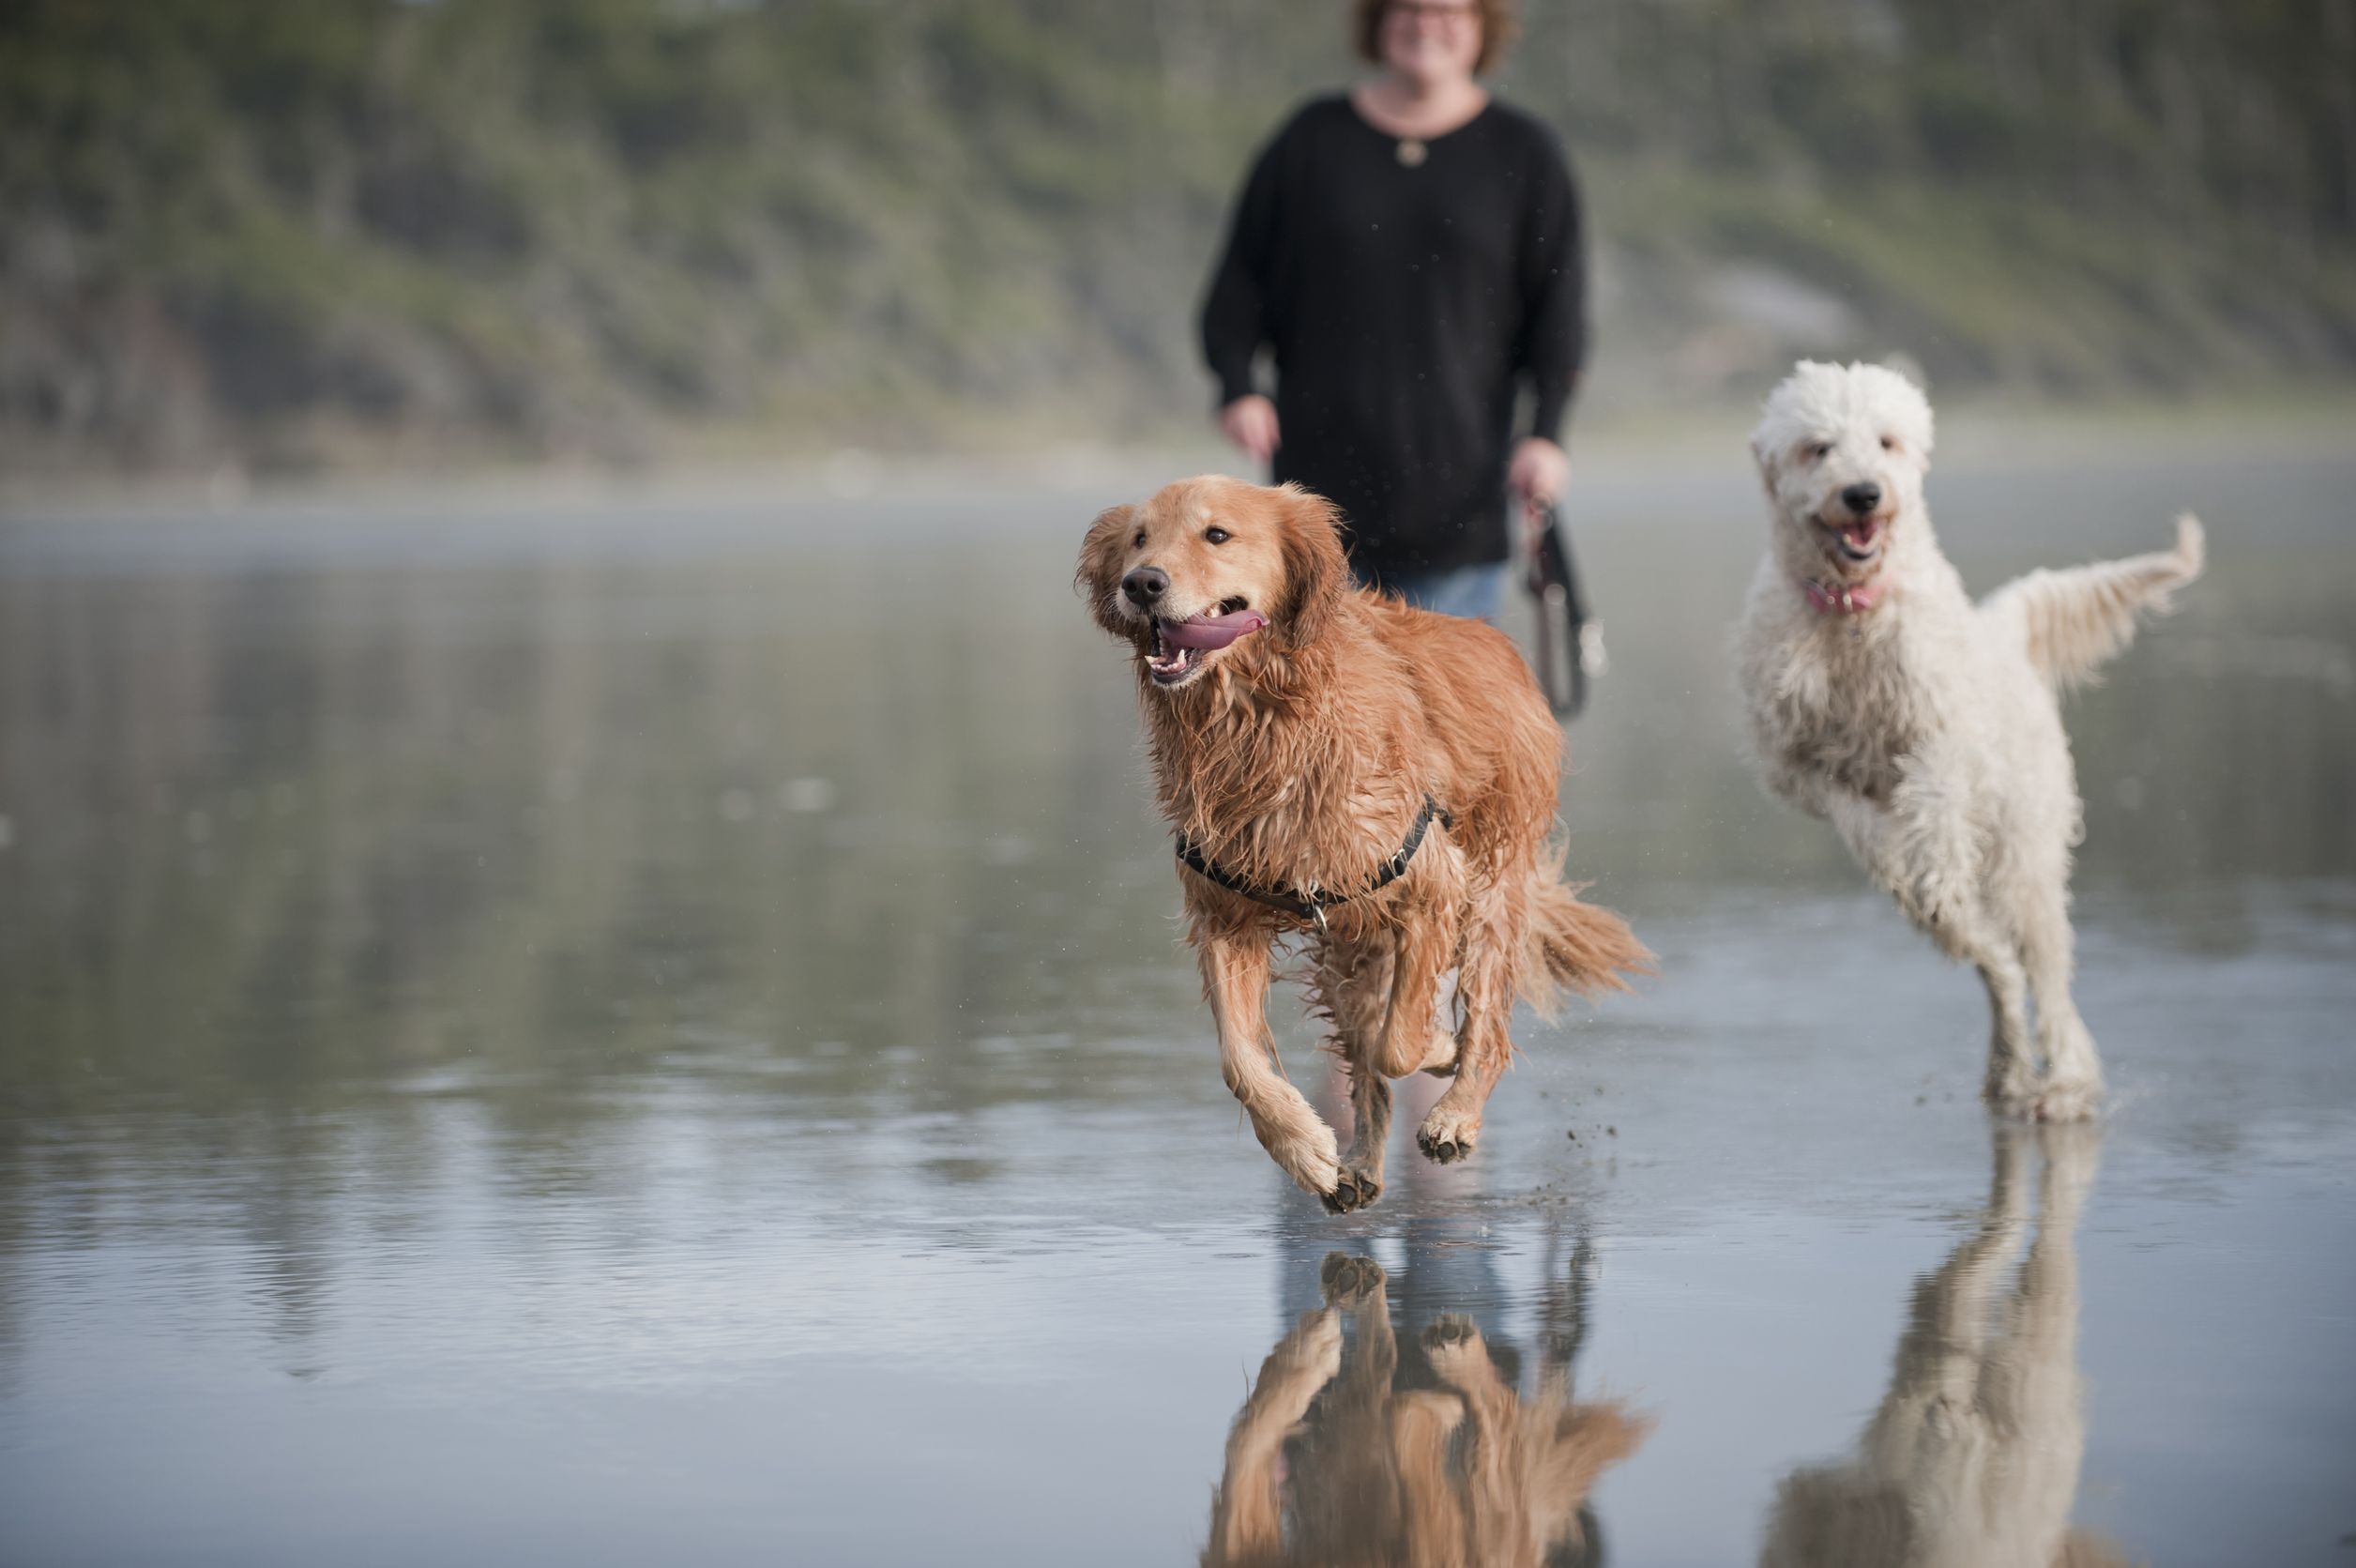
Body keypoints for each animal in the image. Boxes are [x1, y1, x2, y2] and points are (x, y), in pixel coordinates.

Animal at [1734, 360, 2205, 1118]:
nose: (1862, 493)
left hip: (2025, 853)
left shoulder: (1940, 733)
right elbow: (1861, 821)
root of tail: (2004, 629)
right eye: (1817, 447)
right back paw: (2007, 1065)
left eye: (1886, 441)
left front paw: (1932, 867)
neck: (1852, 614)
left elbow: (1934, 797)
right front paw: (1901, 864)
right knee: (1995, 965)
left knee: (2045, 970)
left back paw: (2062, 1081)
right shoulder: (1805, 767)